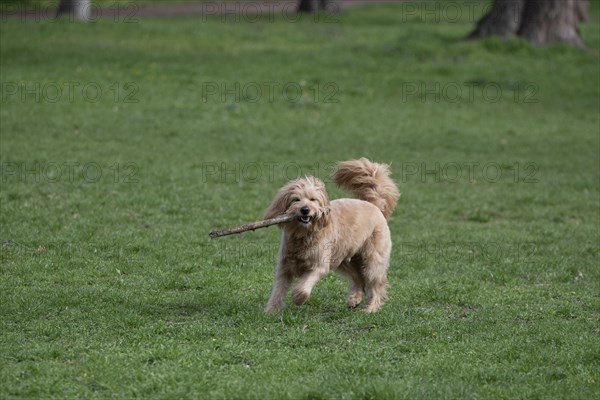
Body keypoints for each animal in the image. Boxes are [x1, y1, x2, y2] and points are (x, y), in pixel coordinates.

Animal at [262, 159, 398, 312]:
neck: (305, 235)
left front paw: (298, 298)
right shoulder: (284, 267)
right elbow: (278, 290)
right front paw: (271, 311)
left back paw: (371, 308)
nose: (305, 210)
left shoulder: (319, 266)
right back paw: (355, 299)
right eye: (296, 199)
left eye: (313, 199)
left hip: (372, 260)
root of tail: (374, 205)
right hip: (343, 258)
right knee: (359, 278)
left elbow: (303, 287)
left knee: (377, 284)